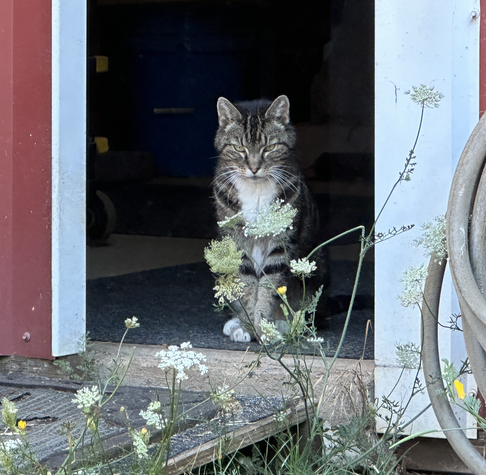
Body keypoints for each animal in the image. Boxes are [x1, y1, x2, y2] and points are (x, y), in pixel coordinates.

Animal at [212, 96, 318, 342]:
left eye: (269, 147)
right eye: (239, 148)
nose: (253, 168)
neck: (255, 190)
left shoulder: (280, 244)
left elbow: (269, 288)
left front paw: (263, 329)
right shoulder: (236, 243)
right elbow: (248, 287)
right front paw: (247, 327)